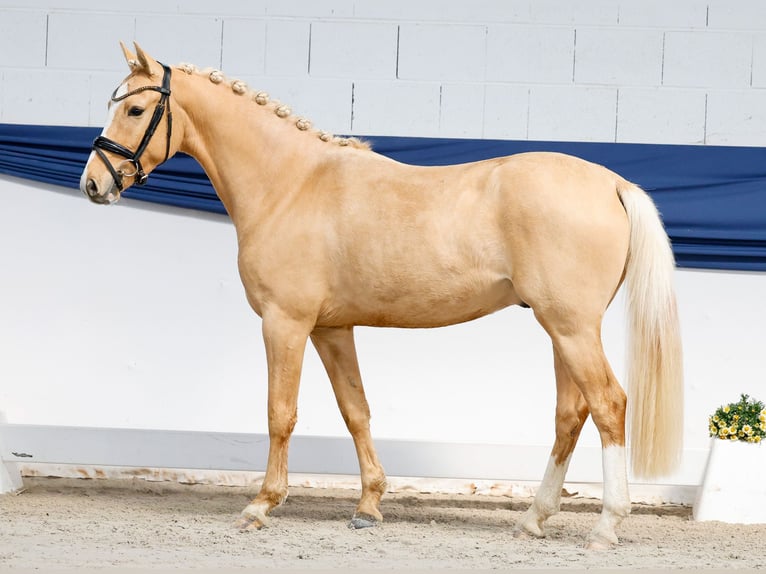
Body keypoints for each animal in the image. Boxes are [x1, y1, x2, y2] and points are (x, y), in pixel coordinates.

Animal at [80, 43, 683, 550]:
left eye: (135, 110)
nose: (93, 184)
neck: (291, 184)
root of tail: (612, 184)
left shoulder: (284, 323)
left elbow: (280, 412)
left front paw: (261, 505)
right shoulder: (331, 328)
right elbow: (356, 411)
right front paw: (368, 506)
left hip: (572, 327)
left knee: (608, 405)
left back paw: (605, 526)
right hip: (564, 330)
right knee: (570, 414)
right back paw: (533, 518)